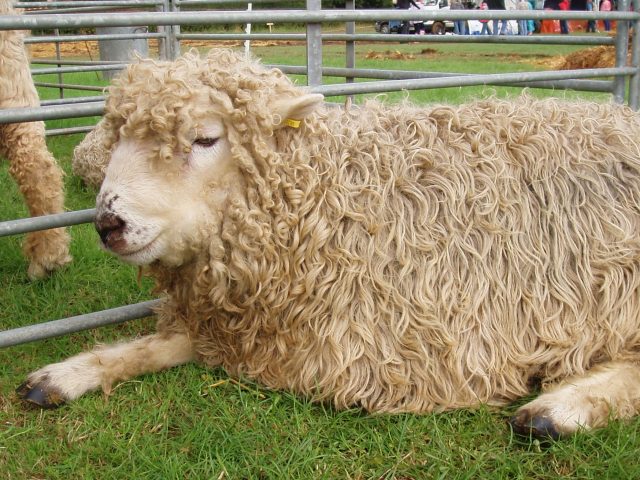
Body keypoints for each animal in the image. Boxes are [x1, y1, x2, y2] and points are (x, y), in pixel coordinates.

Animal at [16, 48, 640, 438]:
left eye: (205, 138)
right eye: (116, 135)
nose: (108, 224)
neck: (328, 200)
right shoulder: (254, 328)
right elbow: (160, 343)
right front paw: (66, 374)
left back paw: (559, 409)